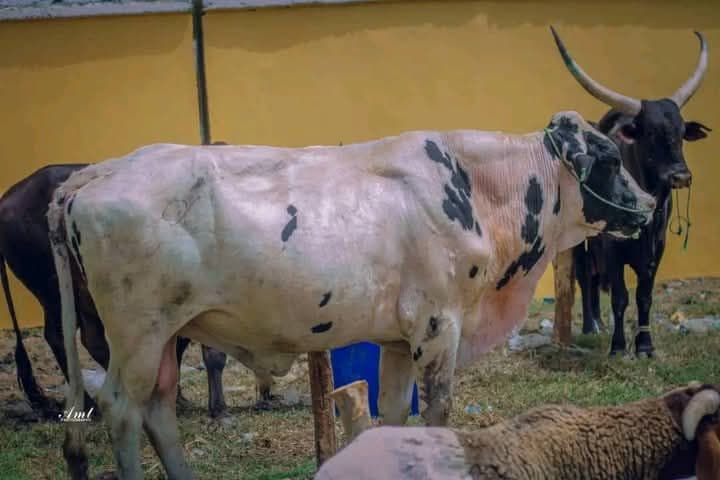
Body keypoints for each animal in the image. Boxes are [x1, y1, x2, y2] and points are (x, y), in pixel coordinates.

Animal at [0, 164, 280, 420]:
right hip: (54, 293)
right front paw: (218, 408)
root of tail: (10, 197)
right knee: (59, 338)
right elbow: (212, 354)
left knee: (90, 339)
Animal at [47, 103, 654, 478]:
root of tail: (98, 172)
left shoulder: (398, 340)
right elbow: (437, 412)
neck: (475, 187)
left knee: (159, 408)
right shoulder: (439, 326)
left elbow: (393, 414)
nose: (650, 204)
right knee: (121, 408)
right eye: (607, 158)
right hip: (137, 333)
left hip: (168, 336)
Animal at [549, 28, 711, 356]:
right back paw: (591, 326)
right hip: (579, 238)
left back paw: (599, 323)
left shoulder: (657, 249)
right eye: (649, 132)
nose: (680, 176)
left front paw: (645, 345)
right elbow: (620, 296)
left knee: (594, 277)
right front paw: (618, 346)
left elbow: (644, 297)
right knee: (585, 276)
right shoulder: (613, 247)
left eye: (681, 133)